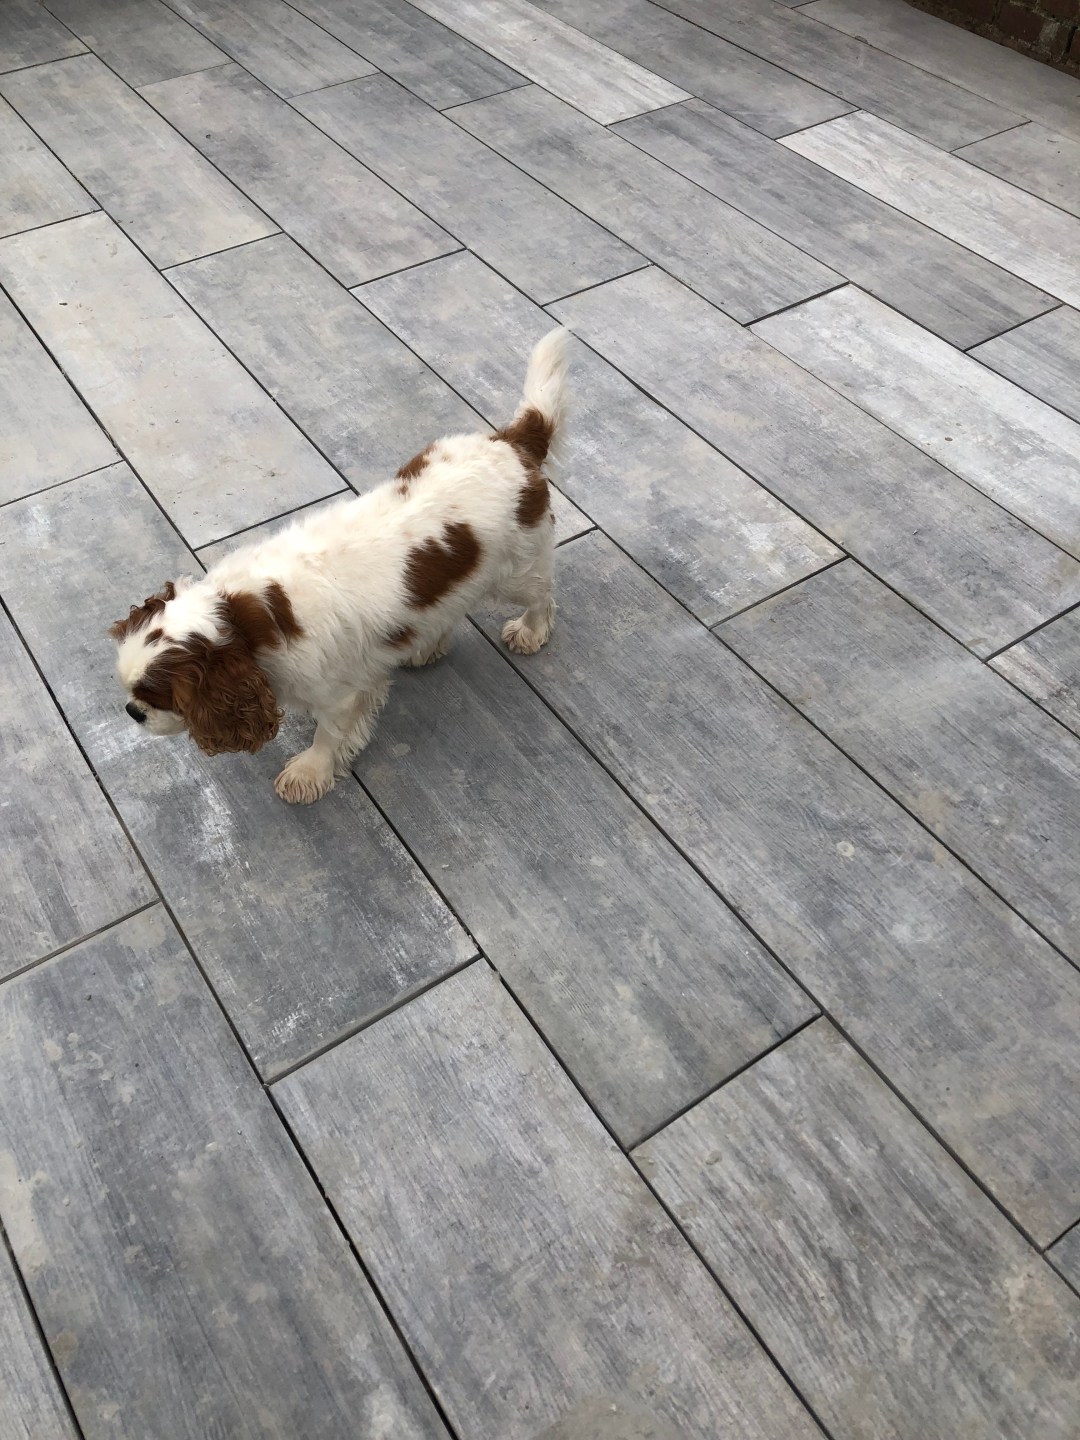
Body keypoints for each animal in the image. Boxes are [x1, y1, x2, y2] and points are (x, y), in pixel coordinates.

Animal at [110, 329, 568, 804]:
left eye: (159, 698)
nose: (131, 711)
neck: (246, 619)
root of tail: (513, 442)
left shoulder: (338, 693)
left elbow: (329, 735)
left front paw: (309, 772)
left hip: (517, 568)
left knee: (541, 595)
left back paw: (530, 631)